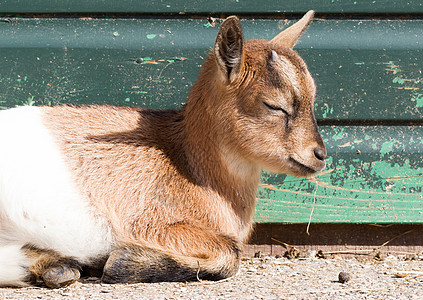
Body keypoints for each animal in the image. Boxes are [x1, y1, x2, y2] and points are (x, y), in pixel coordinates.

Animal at [0, 11, 328, 288]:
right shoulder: (151, 225)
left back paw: (54, 267)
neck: (188, 163)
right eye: (274, 105)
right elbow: (230, 255)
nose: (319, 154)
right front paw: (122, 262)